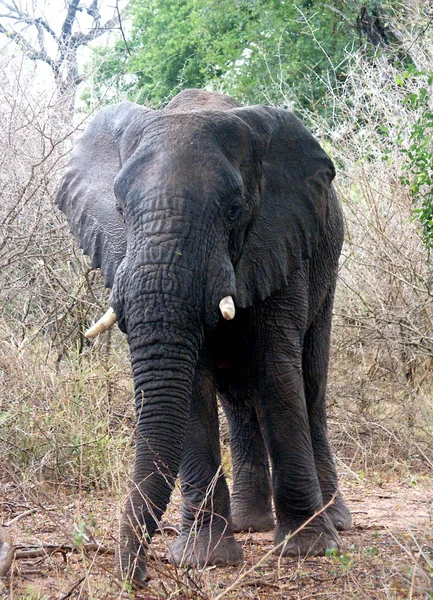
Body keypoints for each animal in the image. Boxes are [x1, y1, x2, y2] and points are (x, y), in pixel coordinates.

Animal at [54, 89, 352, 584]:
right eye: (119, 210)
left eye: (234, 210)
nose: (139, 577)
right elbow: (193, 387)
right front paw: (203, 558)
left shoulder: (279, 240)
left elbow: (277, 372)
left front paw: (308, 549)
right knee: (239, 400)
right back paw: (250, 524)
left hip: (325, 267)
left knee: (310, 385)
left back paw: (336, 521)